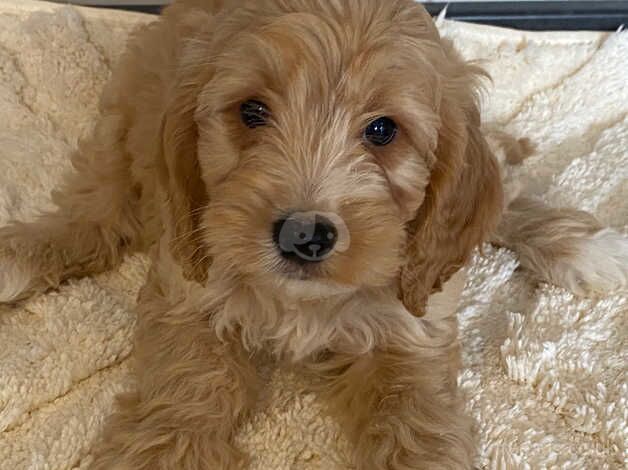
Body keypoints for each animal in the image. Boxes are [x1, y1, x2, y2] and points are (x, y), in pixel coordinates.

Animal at [0, 0, 624, 470]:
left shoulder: (412, 324)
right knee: (97, 213)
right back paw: (24, 253)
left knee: (501, 187)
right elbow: (185, 386)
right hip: (125, 127)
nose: (305, 235)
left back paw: (579, 242)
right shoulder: (187, 283)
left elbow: (416, 421)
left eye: (382, 130)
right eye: (252, 112)